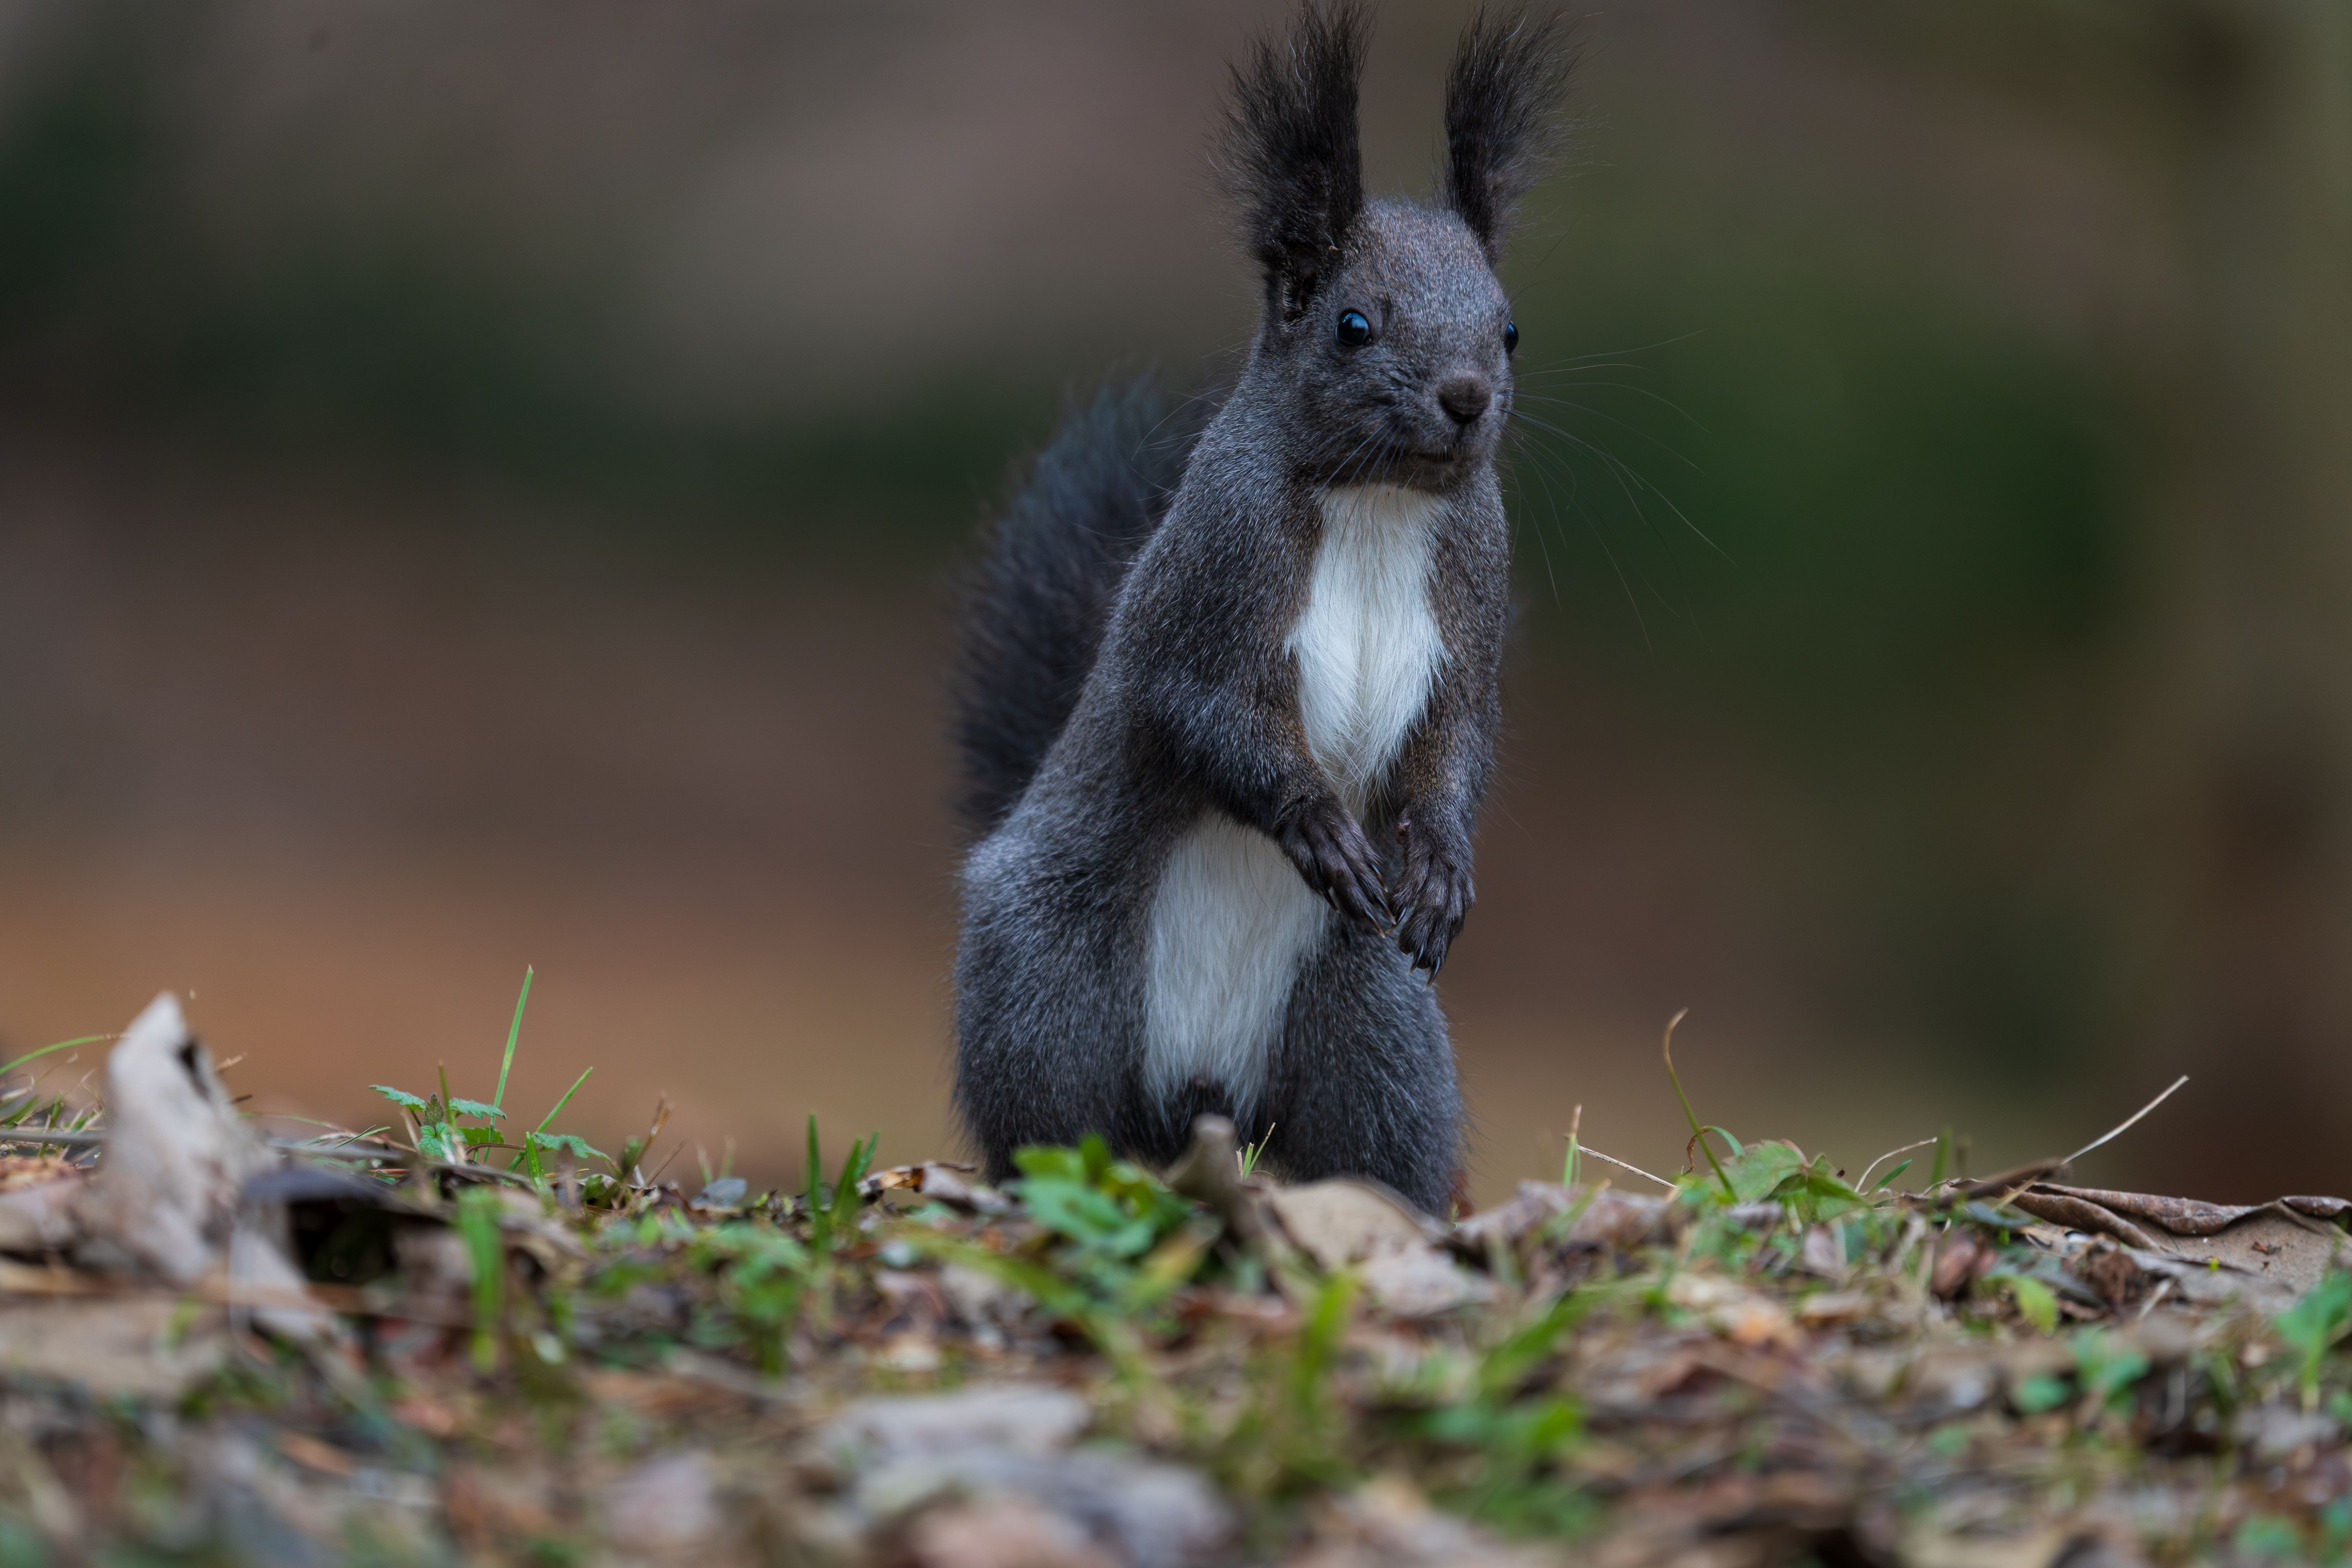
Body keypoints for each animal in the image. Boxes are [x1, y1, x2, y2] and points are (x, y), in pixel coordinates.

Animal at [950, 2, 1574, 1217]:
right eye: (1353, 324)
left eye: (1512, 329)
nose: (1468, 399)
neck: (1376, 501)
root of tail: (1200, 1095)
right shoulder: (1212, 592)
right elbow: (1209, 718)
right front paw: (1317, 823)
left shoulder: (1470, 607)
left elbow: (1455, 741)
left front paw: (1439, 866)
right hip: (1049, 989)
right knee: (1045, 1118)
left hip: (1372, 1025)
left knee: (1383, 1142)